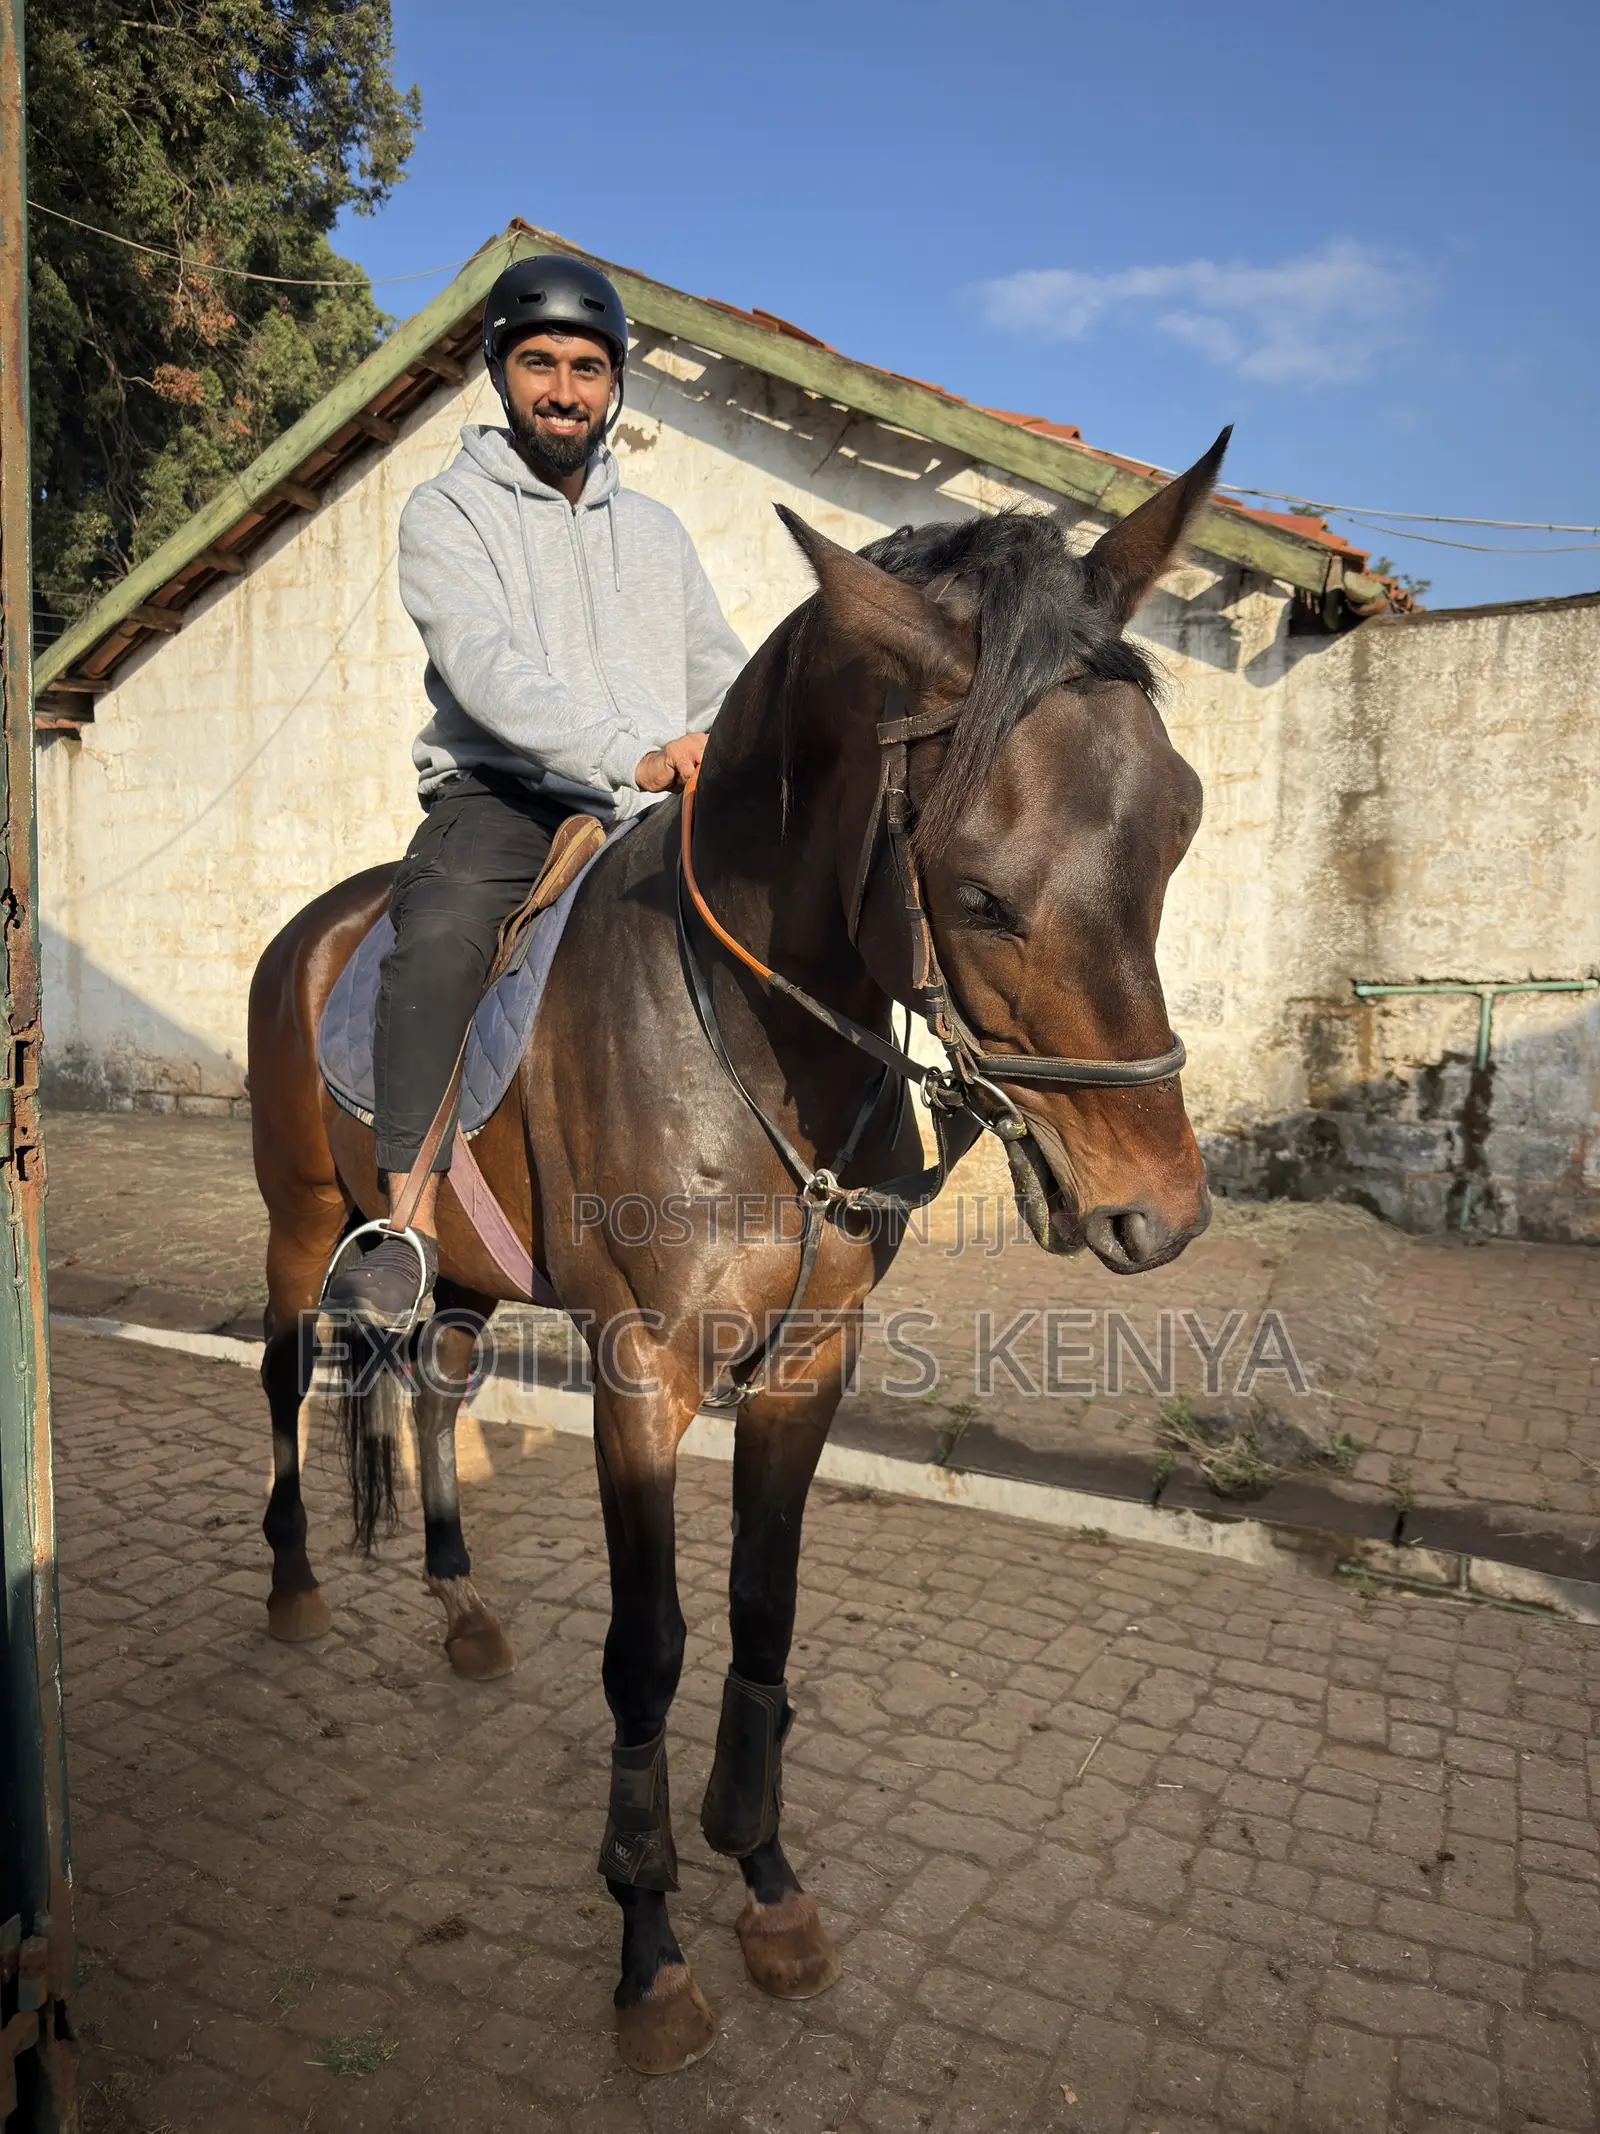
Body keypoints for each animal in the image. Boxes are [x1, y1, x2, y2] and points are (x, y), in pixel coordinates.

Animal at [246, 430, 1227, 2075]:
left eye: (1179, 826)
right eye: (976, 889)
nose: (1158, 1212)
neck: (750, 1039)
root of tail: (311, 926)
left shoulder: (804, 1363)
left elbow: (764, 1615)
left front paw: (763, 1882)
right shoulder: (641, 1374)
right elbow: (647, 1644)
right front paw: (649, 1948)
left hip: (458, 1274)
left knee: (435, 1390)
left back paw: (459, 1603)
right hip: (302, 1221)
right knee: (277, 1381)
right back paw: (296, 1586)